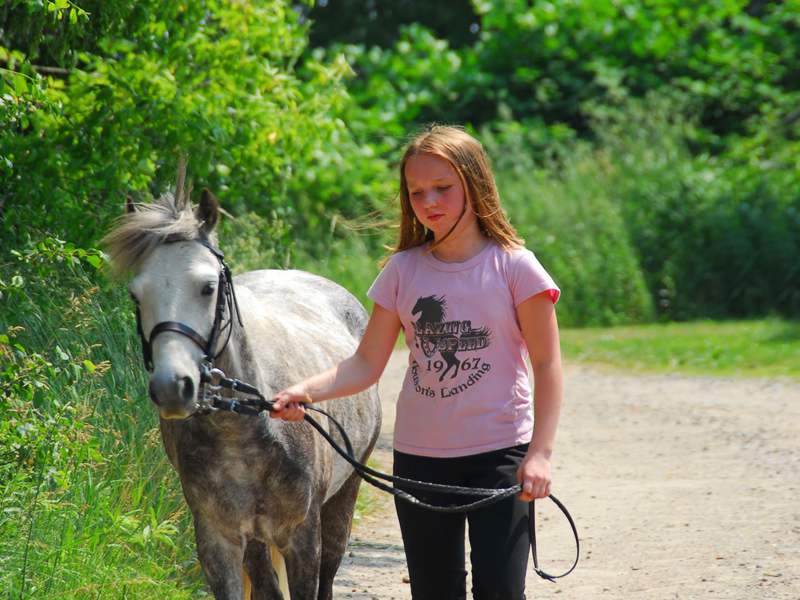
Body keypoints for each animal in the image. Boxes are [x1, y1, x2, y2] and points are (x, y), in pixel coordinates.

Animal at [101, 179, 382, 600]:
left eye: (207, 287)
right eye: (137, 294)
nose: (173, 386)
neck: (244, 432)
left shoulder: (302, 540)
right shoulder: (219, 540)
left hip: (343, 498)